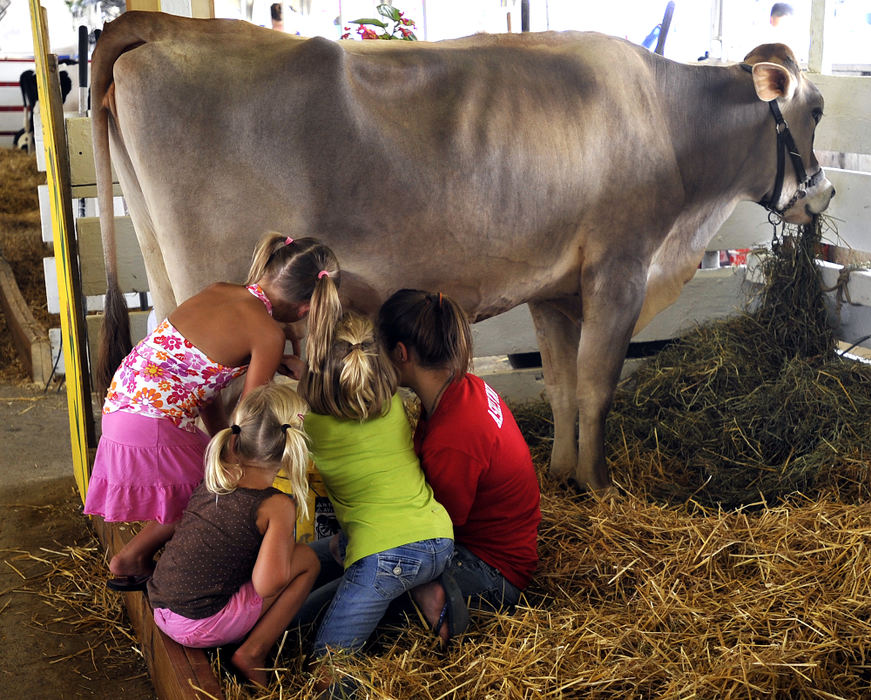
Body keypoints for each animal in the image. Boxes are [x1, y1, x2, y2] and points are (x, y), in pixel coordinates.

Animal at [92, 10, 836, 492]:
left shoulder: (555, 287)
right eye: (819, 109)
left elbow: (562, 384)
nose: (824, 194)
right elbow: (597, 385)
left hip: (167, 282)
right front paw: (600, 485)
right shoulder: (618, 269)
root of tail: (168, 24)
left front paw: (561, 472)